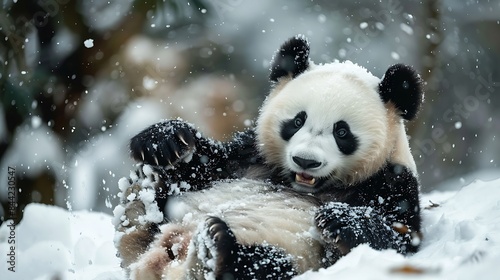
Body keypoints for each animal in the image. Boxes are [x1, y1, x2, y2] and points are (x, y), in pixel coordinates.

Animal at [115, 35, 424, 280]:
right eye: (297, 121)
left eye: (342, 132)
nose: (305, 161)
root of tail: (157, 263)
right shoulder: (251, 156)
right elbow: (207, 164)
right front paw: (163, 141)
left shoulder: (390, 182)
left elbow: (399, 238)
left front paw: (338, 219)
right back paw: (142, 196)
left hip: (289, 255)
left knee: (265, 265)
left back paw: (216, 251)